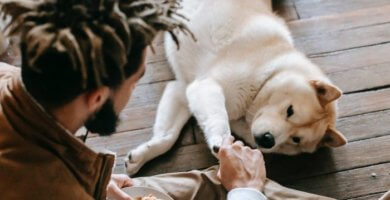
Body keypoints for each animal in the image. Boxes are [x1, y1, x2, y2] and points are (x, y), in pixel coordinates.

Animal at [125, 0, 348, 175]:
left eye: (296, 139)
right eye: (290, 110)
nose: (268, 140)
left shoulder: (183, 90)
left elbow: (167, 137)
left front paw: (141, 156)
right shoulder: (205, 86)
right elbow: (218, 117)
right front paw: (222, 141)